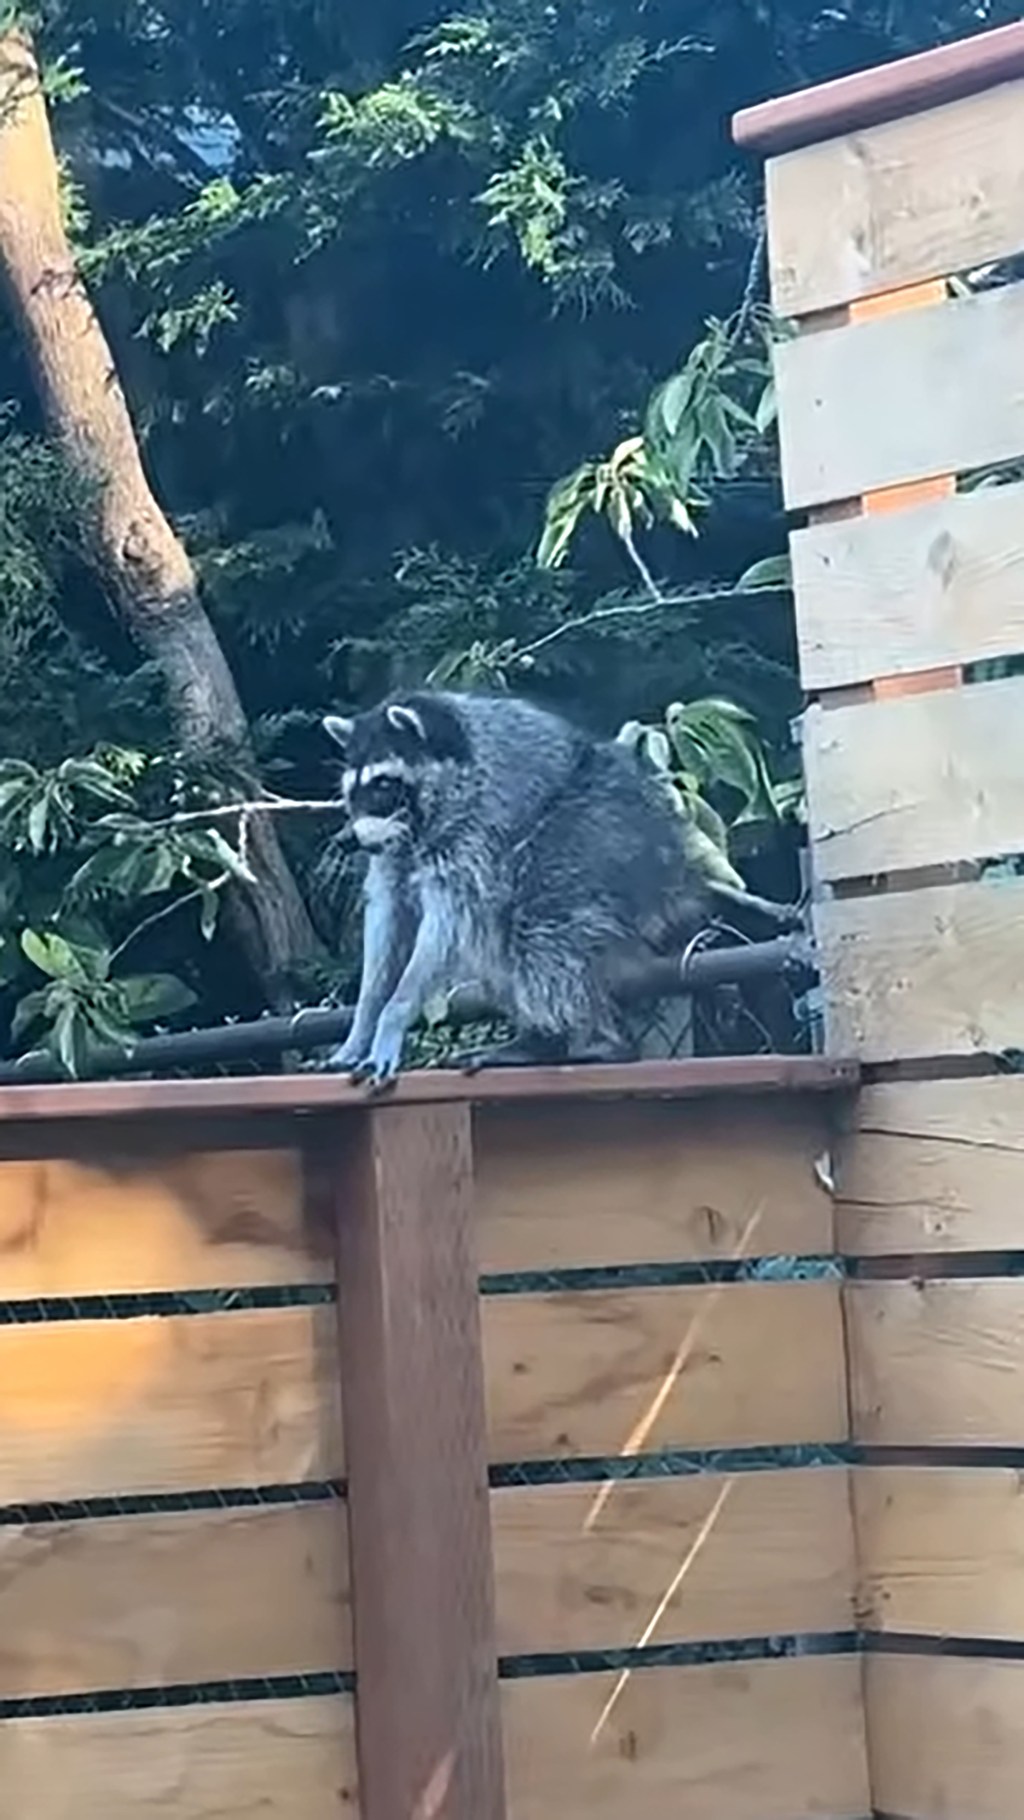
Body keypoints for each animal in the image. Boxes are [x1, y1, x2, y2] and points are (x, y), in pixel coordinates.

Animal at [321, 689, 708, 1083]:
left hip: (597, 830)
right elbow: (387, 917)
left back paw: (582, 1041)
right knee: (499, 937)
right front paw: (363, 1024)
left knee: (543, 930)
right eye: (350, 792)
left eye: (383, 785)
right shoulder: (392, 852)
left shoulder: (475, 828)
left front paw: (394, 1015)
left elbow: (445, 925)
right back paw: (543, 1038)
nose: (344, 841)